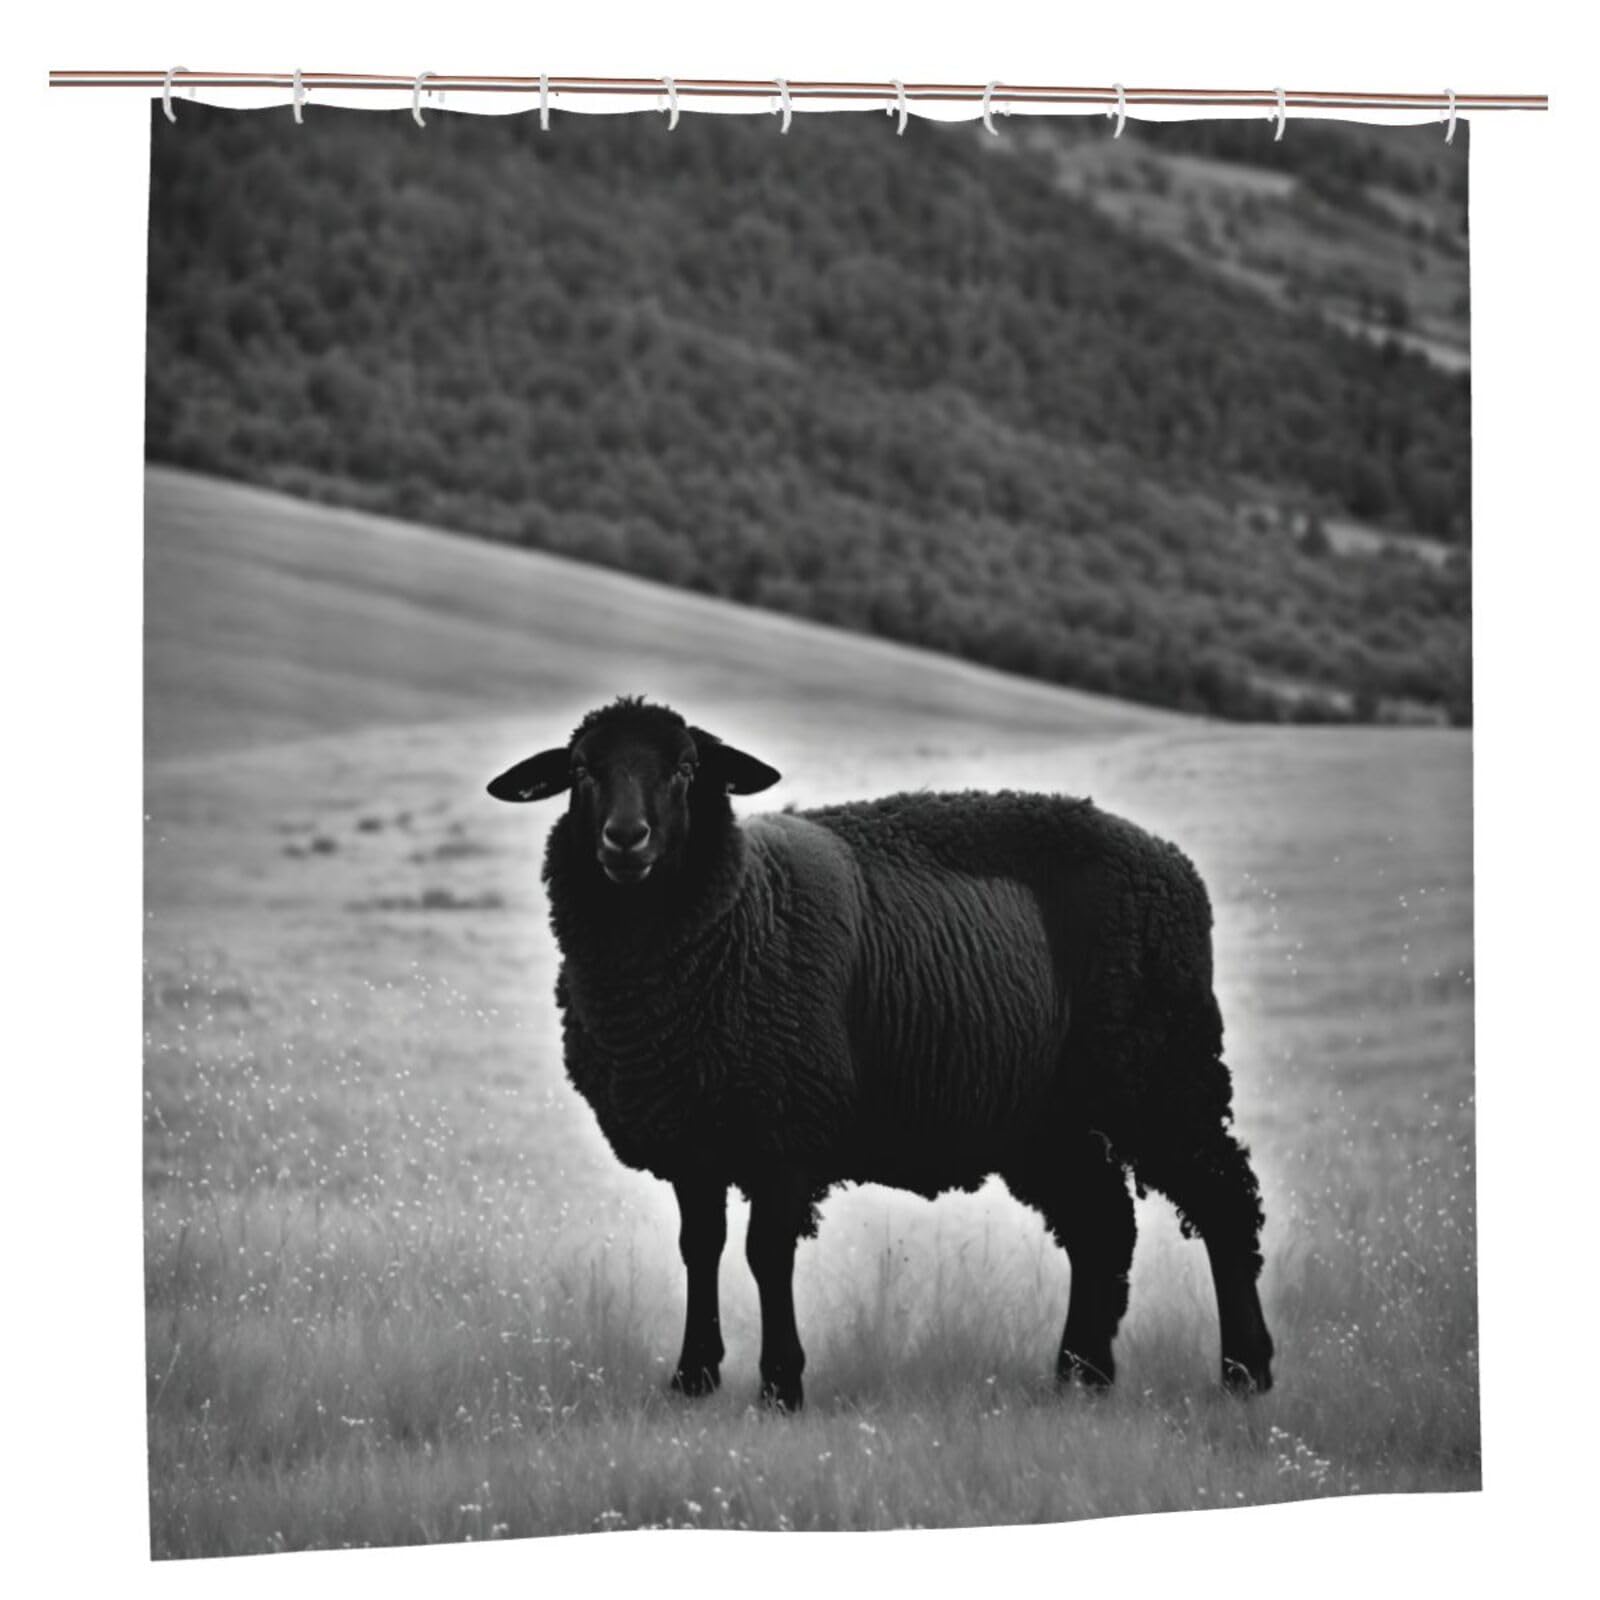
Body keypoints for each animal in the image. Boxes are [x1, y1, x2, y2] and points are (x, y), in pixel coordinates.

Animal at [488, 695, 1274, 1409]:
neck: (739, 913)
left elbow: (766, 1253)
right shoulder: (693, 1133)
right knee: (1102, 1224)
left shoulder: (786, 1128)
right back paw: (1081, 1377)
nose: (626, 838)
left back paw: (1245, 1371)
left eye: (685, 769)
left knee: (1223, 1200)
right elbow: (700, 1247)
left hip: (1162, 1070)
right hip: (1049, 1117)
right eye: (581, 770)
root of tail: (1170, 859)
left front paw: (780, 1386)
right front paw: (694, 1378)